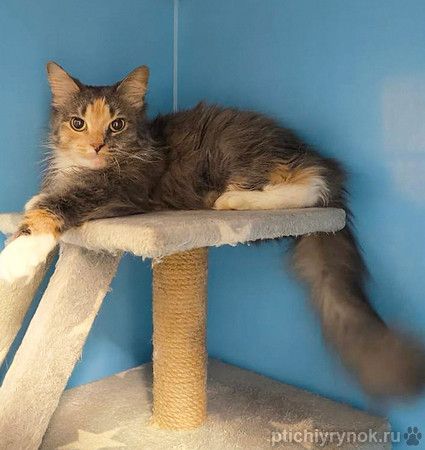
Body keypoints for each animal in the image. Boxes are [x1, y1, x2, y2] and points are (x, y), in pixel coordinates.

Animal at [0, 62, 424, 398]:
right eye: (78, 123)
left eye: (116, 125)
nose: (97, 146)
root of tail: (312, 152)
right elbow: (47, 195)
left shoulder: (120, 192)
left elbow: (54, 207)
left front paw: (16, 257)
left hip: (248, 159)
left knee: (310, 186)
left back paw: (233, 201)